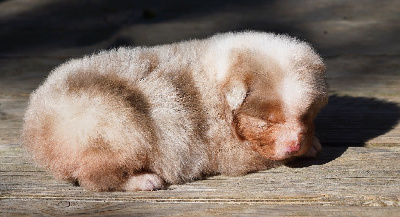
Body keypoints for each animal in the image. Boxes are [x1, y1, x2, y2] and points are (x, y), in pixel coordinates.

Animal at [22, 31, 328, 192]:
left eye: (306, 116)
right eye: (265, 121)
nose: (294, 144)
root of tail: (38, 130)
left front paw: (310, 141)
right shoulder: (226, 148)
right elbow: (258, 155)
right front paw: (310, 147)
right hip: (114, 123)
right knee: (95, 176)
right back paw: (144, 180)